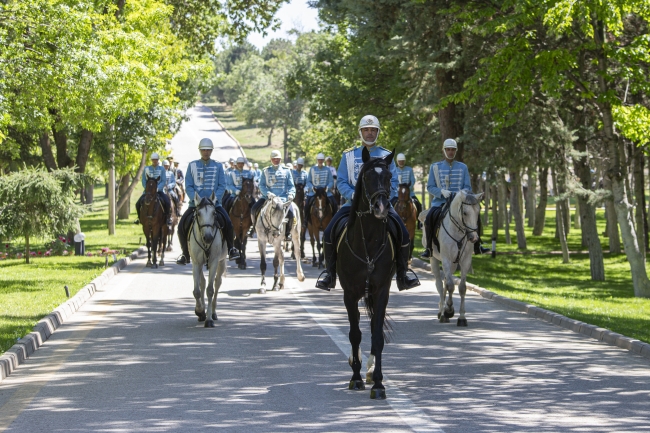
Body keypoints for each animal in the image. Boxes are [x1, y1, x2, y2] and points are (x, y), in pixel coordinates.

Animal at [189, 192, 227, 328]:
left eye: (214, 213)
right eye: (198, 213)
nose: (209, 237)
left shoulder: (214, 262)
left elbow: (210, 290)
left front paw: (209, 319)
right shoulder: (196, 263)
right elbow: (197, 291)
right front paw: (200, 311)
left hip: (222, 262)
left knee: (217, 283)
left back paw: (213, 313)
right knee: (202, 282)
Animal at [420, 191, 480, 326]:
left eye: (478, 212)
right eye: (465, 213)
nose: (474, 238)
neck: (458, 232)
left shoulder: (465, 261)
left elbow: (462, 288)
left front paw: (462, 317)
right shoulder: (446, 260)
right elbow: (451, 286)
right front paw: (448, 311)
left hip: (453, 264)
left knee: (445, 282)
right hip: (434, 259)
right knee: (439, 283)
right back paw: (442, 312)